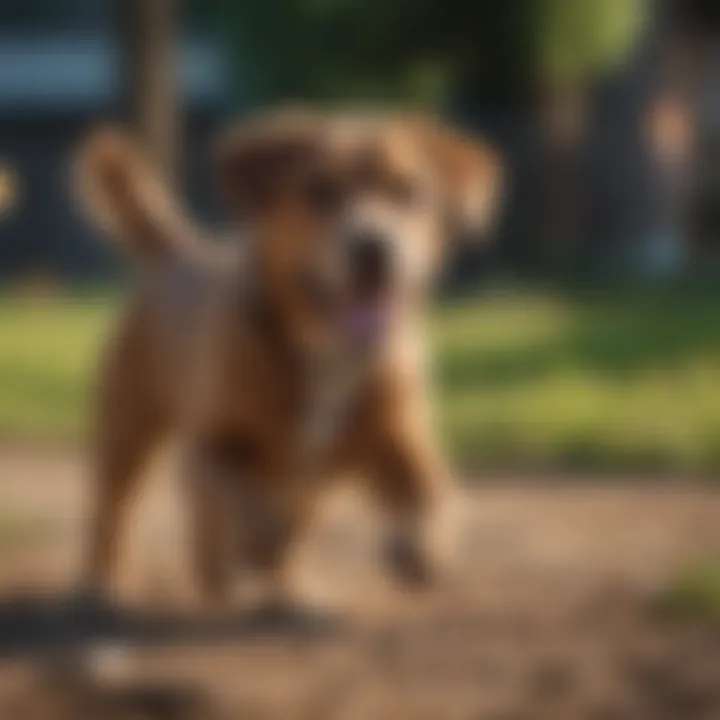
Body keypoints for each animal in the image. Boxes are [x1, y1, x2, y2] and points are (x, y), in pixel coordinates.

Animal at [74, 109, 500, 612]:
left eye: (407, 190)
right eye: (319, 190)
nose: (373, 246)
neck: (325, 350)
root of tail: (178, 253)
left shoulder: (397, 435)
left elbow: (431, 486)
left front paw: (424, 544)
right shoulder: (215, 442)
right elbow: (242, 498)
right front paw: (258, 540)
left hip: (317, 484)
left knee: (268, 528)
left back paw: (287, 594)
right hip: (127, 431)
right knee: (118, 512)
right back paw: (105, 585)